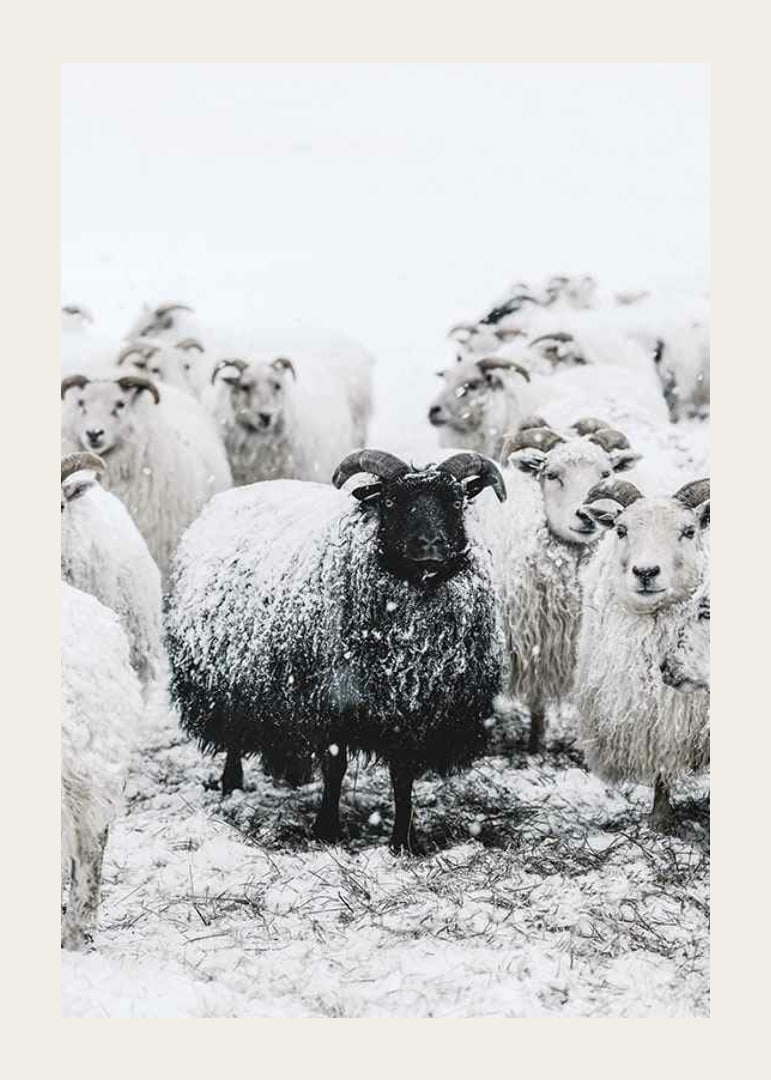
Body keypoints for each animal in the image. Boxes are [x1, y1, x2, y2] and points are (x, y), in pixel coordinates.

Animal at [165, 449, 507, 853]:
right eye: (390, 501)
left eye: (456, 502)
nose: (431, 545)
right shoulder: (330, 702)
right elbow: (335, 767)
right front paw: (326, 829)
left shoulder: (413, 712)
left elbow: (402, 774)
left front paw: (404, 841)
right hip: (229, 679)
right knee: (234, 734)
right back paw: (231, 784)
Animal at [482, 419, 642, 752]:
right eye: (552, 475)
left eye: (605, 474)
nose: (586, 516)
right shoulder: (535, 641)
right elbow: (537, 702)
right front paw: (535, 745)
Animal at [574, 478, 710, 829]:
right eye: (621, 530)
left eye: (689, 531)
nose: (646, 571)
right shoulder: (656, 715)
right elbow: (662, 767)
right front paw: (659, 820)